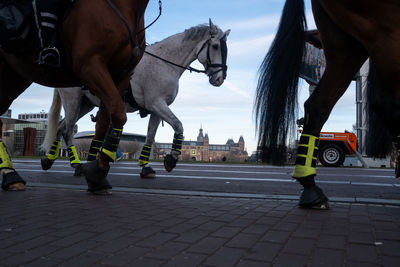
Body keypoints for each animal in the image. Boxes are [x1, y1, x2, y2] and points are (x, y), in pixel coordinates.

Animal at [0, 0, 150, 194]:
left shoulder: (120, 76)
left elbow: (104, 121)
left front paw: (96, 171)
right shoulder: (90, 65)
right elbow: (118, 112)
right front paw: (98, 169)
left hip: (15, 77)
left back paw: (12, 175)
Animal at [39, 20, 231, 178]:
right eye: (215, 46)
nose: (219, 79)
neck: (165, 63)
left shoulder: (156, 109)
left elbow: (150, 137)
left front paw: (145, 167)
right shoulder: (157, 103)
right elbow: (178, 125)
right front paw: (172, 158)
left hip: (85, 105)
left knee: (60, 128)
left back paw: (50, 160)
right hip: (73, 101)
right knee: (67, 130)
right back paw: (77, 165)